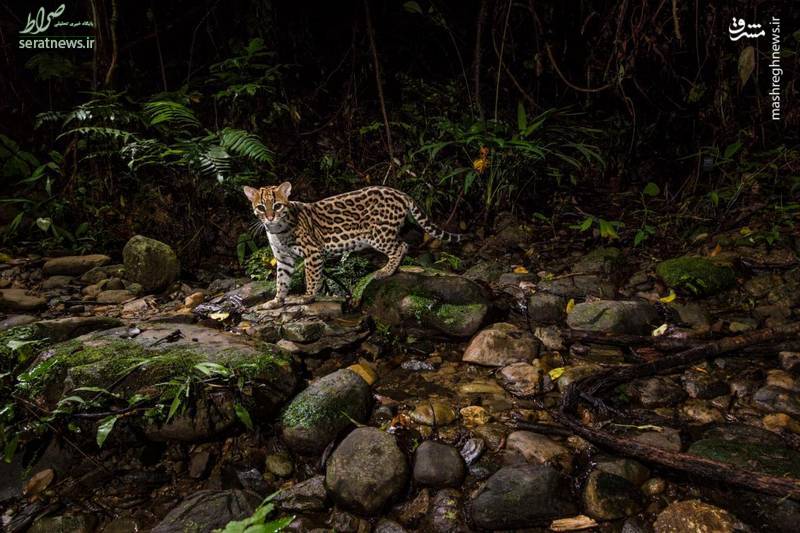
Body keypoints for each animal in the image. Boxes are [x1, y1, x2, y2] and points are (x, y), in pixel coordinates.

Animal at [242, 183, 462, 308]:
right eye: (260, 207)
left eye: (277, 205)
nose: (270, 217)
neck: (277, 230)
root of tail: (399, 192)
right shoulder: (283, 259)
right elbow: (281, 281)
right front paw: (276, 302)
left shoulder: (313, 252)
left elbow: (311, 278)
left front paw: (306, 297)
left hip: (379, 234)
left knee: (402, 246)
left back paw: (386, 270)